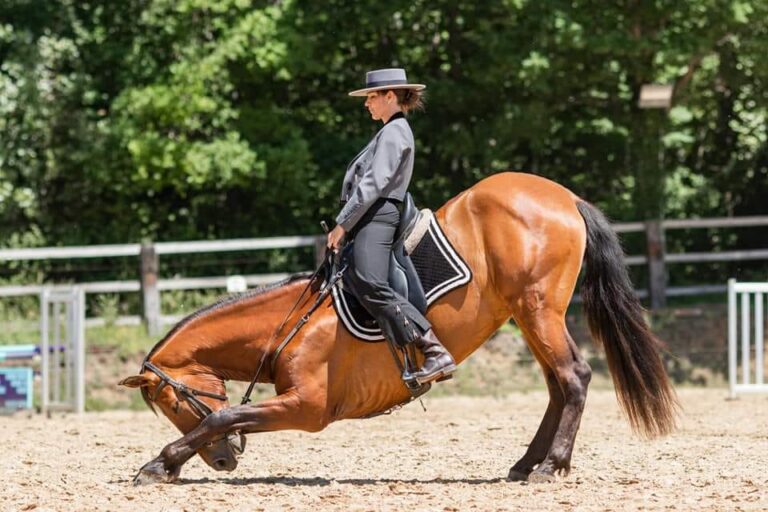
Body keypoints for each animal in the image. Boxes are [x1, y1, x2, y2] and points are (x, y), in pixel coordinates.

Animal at [120, 172, 678, 485]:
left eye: (172, 403)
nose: (223, 463)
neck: (291, 324)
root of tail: (562, 196)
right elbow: (227, 416)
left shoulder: (308, 407)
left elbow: (222, 416)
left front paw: (161, 464)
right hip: (526, 316)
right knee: (558, 386)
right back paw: (525, 465)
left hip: (538, 310)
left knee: (574, 378)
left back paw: (550, 466)